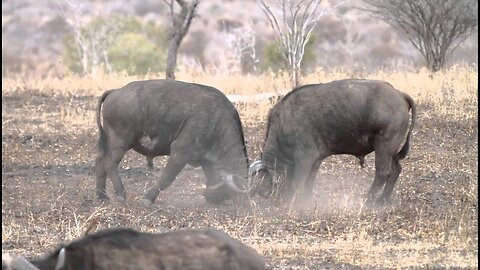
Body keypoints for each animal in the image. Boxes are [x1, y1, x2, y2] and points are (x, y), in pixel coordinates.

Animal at [94, 79, 251, 206]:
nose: (217, 198)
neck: (217, 121)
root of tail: (116, 91)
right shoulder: (180, 153)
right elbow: (166, 178)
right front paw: (148, 199)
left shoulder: (204, 158)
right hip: (120, 142)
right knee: (109, 163)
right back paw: (121, 194)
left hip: (109, 141)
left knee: (100, 161)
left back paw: (101, 195)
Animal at [251, 78, 416, 207]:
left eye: (265, 188)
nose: (277, 201)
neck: (284, 125)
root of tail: (399, 94)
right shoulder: (316, 160)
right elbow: (309, 182)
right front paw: (307, 201)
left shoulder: (304, 159)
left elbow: (298, 182)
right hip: (391, 150)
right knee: (396, 169)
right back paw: (383, 200)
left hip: (384, 146)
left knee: (383, 173)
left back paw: (367, 201)